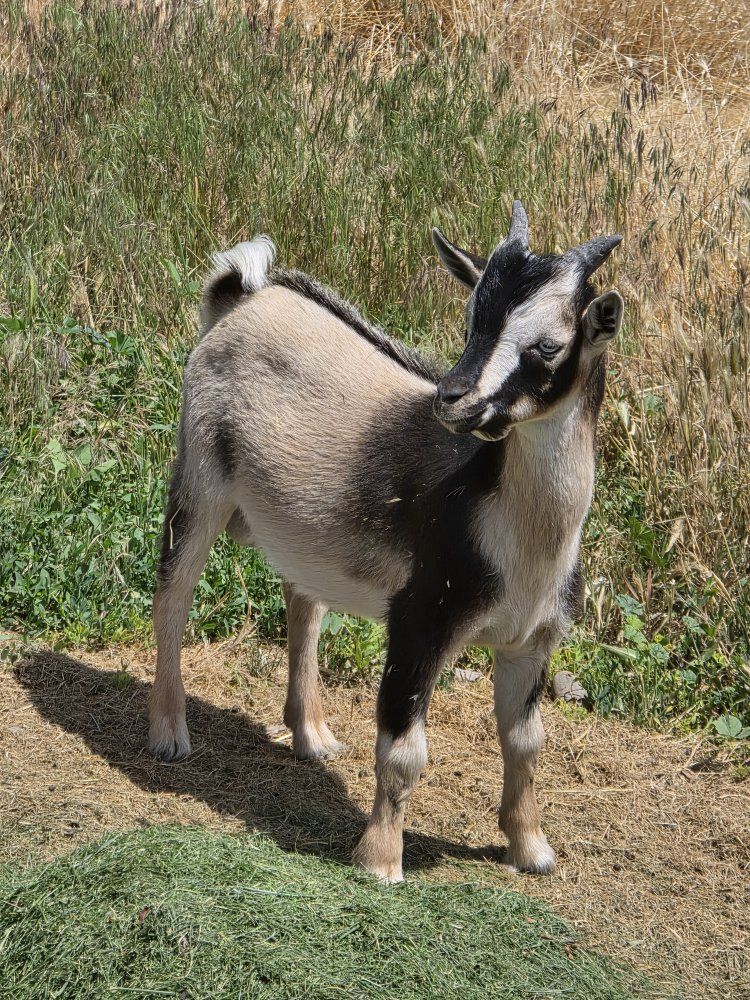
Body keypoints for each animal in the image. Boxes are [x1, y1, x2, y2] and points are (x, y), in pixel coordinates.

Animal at [150, 202, 624, 882]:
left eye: (548, 345)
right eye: (471, 319)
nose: (452, 398)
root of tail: (243, 295)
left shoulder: (533, 640)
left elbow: (526, 744)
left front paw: (531, 850)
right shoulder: (419, 622)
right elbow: (403, 750)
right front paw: (379, 860)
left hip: (303, 528)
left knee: (303, 603)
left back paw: (313, 737)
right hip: (200, 476)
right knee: (173, 591)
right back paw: (169, 734)